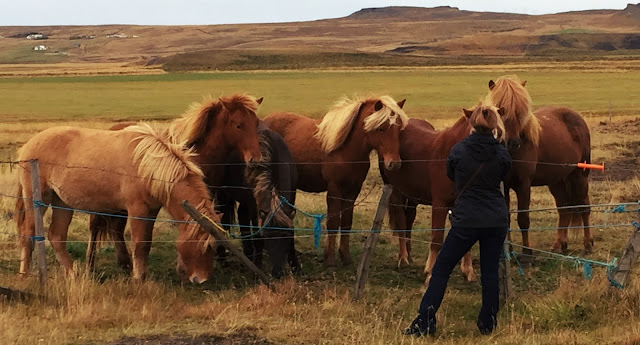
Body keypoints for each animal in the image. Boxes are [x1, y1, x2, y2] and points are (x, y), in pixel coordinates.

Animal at [15, 123, 219, 282]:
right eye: (206, 246)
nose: (201, 279)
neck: (147, 165)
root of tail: (27, 147)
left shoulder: (151, 211)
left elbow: (146, 243)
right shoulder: (137, 210)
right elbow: (139, 244)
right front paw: (138, 278)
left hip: (62, 203)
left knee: (56, 235)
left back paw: (73, 274)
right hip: (38, 199)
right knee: (28, 232)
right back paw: (24, 273)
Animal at [85, 92, 264, 272]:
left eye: (256, 123)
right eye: (238, 125)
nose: (255, 159)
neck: (196, 155)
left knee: (116, 227)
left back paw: (124, 263)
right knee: (95, 226)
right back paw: (90, 265)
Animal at [266, 95, 410, 264]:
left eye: (398, 129)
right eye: (381, 128)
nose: (394, 163)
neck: (345, 150)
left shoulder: (352, 191)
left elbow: (347, 222)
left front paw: (345, 256)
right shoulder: (334, 189)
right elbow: (333, 222)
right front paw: (330, 259)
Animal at [488, 74, 592, 254]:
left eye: (520, 111)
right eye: (501, 110)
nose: (513, 143)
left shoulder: (523, 184)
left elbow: (523, 218)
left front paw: (527, 253)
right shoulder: (504, 186)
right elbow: (506, 218)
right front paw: (510, 251)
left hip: (579, 175)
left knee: (584, 206)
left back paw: (587, 244)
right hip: (557, 180)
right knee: (564, 208)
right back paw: (559, 244)